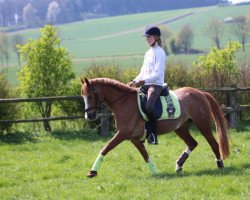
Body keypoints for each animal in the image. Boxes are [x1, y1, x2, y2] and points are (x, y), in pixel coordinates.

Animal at [81, 77, 229, 178]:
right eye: (83, 96)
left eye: (90, 96)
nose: (89, 116)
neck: (124, 103)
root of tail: (200, 93)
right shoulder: (134, 138)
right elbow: (145, 155)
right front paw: (155, 171)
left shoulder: (122, 134)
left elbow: (105, 148)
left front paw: (92, 172)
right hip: (180, 128)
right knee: (193, 143)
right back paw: (178, 165)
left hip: (203, 125)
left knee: (214, 144)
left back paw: (219, 164)